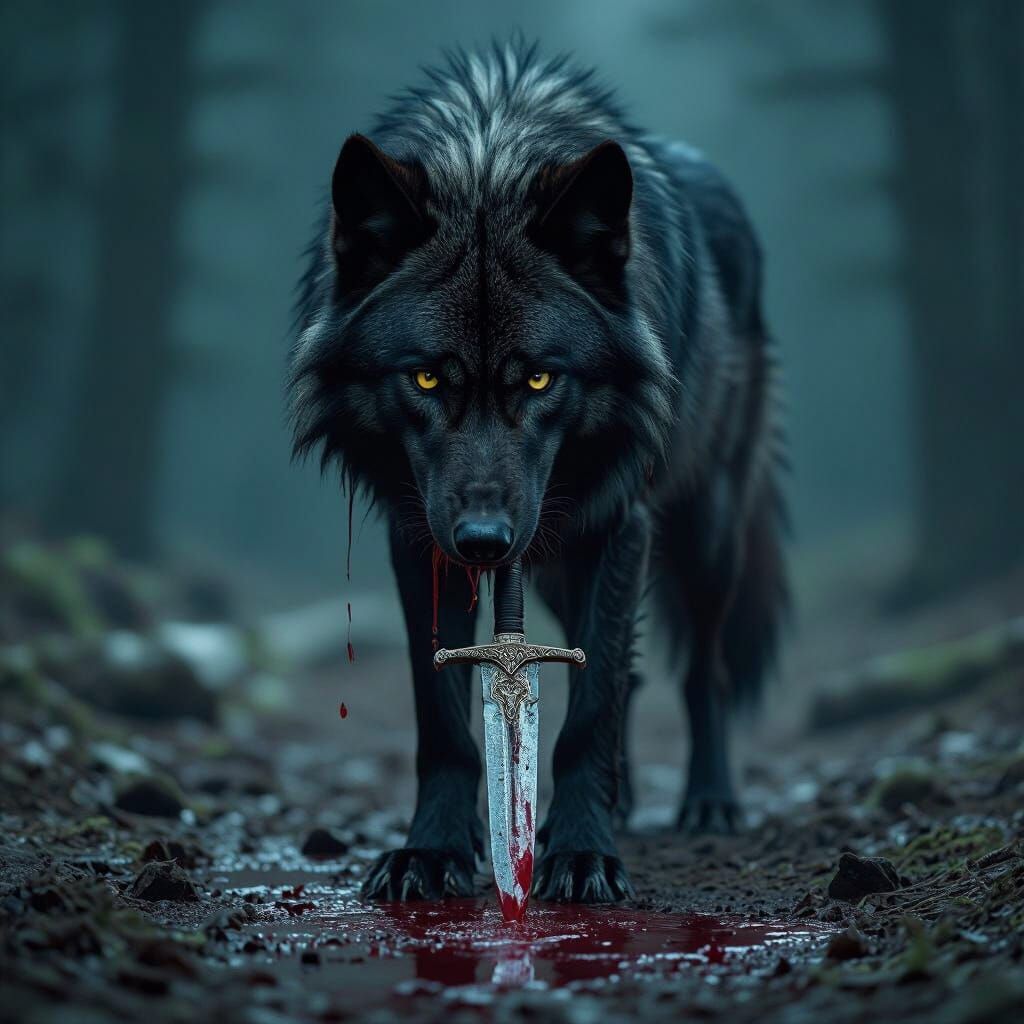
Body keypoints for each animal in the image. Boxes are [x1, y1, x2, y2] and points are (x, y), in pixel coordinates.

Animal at [290, 39, 787, 903]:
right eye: (427, 379)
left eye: (540, 378)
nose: (485, 542)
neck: (492, 151)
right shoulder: (418, 539)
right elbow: (444, 715)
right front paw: (434, 851)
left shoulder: (623, 524)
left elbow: (589, 709)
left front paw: (583, 853)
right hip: (553, 563)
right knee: (630, 674)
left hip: (704, 534)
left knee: (704, 673)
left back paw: (709, 801)